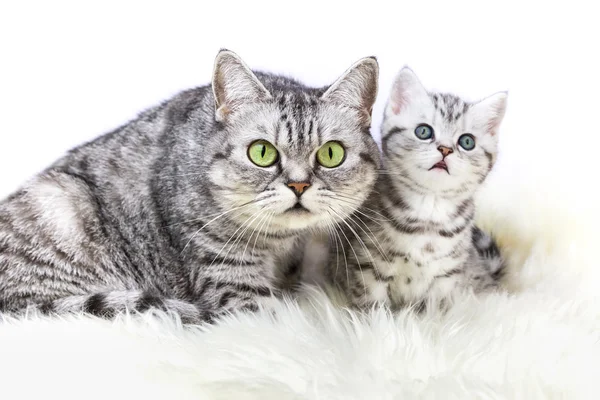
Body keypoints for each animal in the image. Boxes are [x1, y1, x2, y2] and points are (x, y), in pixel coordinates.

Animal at [0, 50, 380, 324]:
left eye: (331, 154)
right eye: (262, 152)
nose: (299, 184)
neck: (280, 243)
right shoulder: (231, 282)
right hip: (60, 203)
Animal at [328, 67, 506, 310]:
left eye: (467, 142)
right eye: (424, 131)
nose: (445, 149)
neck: (429, 212)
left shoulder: (446, 276)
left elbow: (436, 310)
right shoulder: (367, 265)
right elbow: (372, 305)